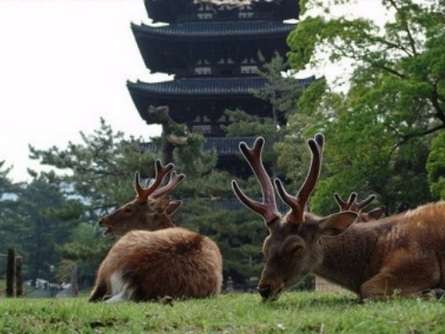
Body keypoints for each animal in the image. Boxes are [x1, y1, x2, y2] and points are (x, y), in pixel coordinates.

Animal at [231, 134, 444, 302]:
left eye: (296, 247)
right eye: (264, 246)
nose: (264, 289)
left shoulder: (419, 262)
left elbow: (367, 288)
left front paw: (433, 292)